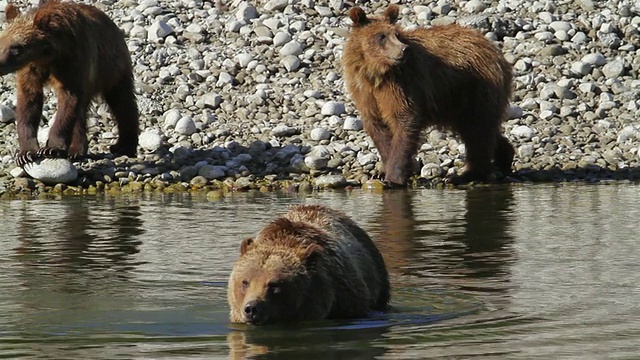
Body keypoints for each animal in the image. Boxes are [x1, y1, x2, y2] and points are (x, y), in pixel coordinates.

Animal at [0, 0, 139, 166]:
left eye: (16, 48)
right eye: (1, 42)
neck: (46, 56)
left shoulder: (72, 62)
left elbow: (68, 101)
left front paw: (52, 148)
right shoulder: (31, 70)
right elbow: (29, 102)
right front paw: (26, 153)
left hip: (112, 68)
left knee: (122, 102)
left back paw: (124, 145)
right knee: (81, 113)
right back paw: (76, 150)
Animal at [340, 4, 516, 186]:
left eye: (396, 34)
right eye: (381, 36)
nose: (403, 49)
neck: (376, 72)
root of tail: (493, 48)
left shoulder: (402, 85)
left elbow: (405, 120)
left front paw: (393, 178)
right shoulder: (365, 92)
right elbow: (378, 127)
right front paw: (383, 172)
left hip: (475, 89)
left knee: (478, 130)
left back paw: (465, 175)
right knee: (481, 129)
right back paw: (503, 159)